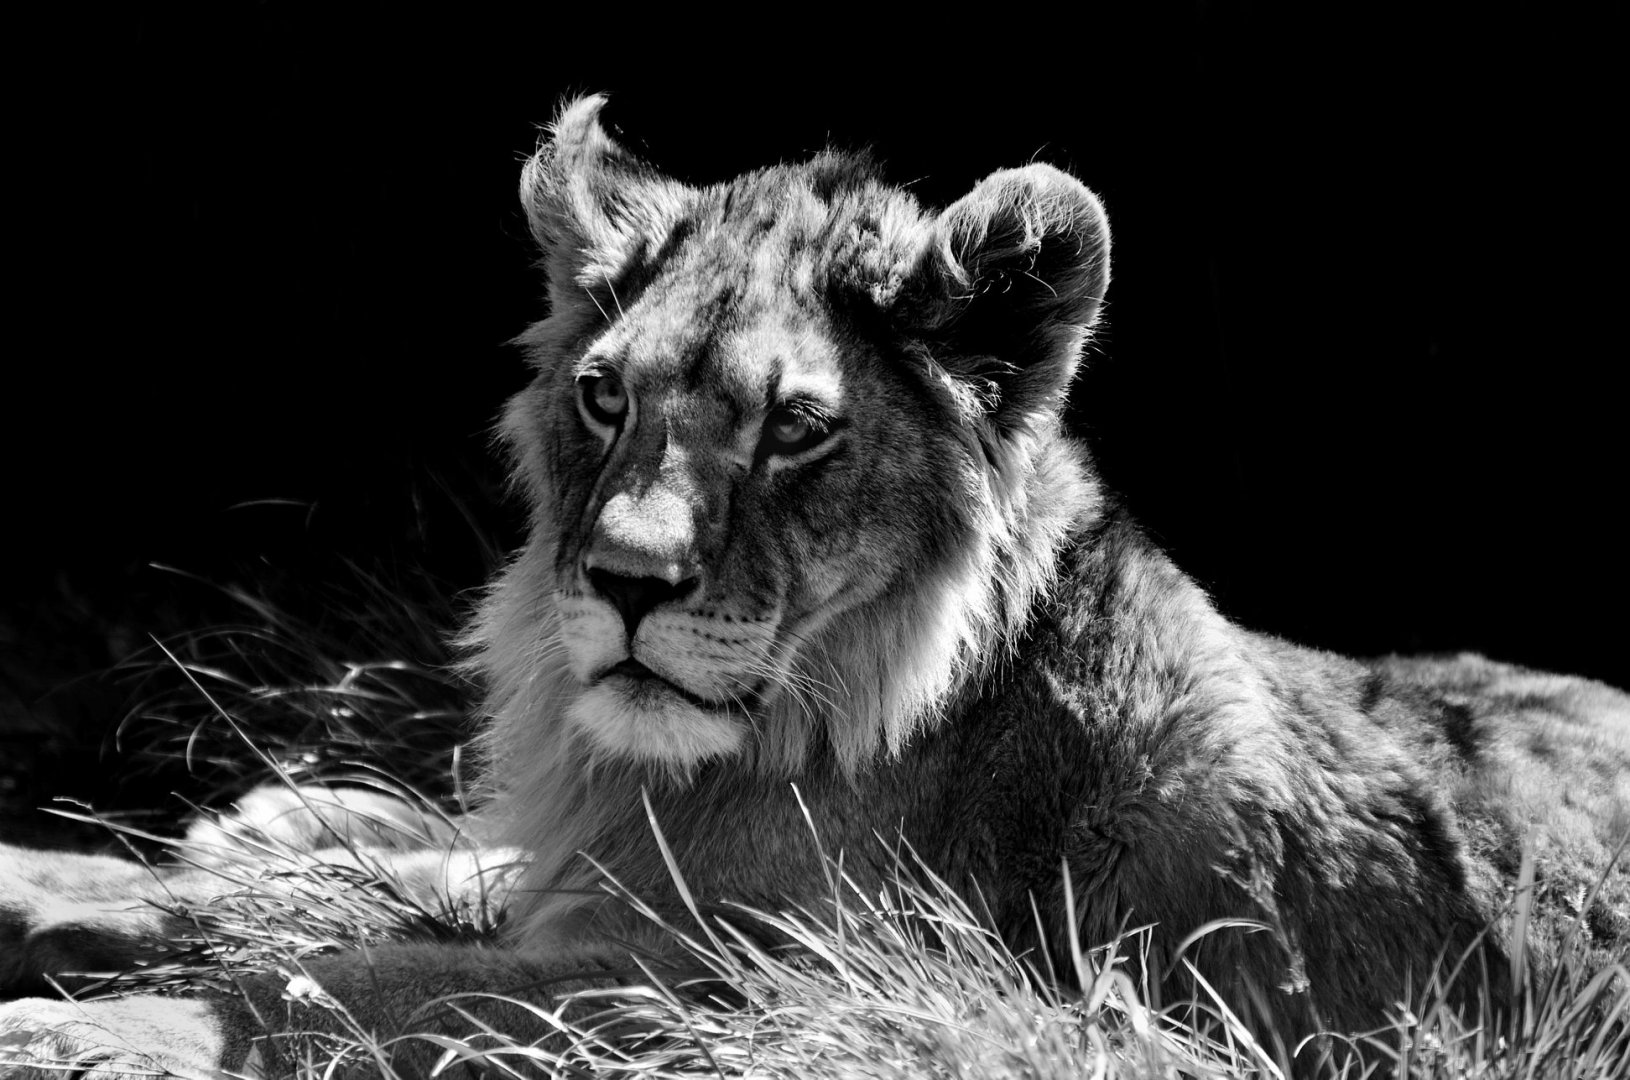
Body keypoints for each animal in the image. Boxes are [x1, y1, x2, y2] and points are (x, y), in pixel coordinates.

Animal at [2, 94, 1626, 1077]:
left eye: (794, 427)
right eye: (603, 396)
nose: (624, 582)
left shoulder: (764, 982)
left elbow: (342, 977)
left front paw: (89, 1029)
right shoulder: (613, 885)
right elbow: (312, 891)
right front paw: (67, 883)